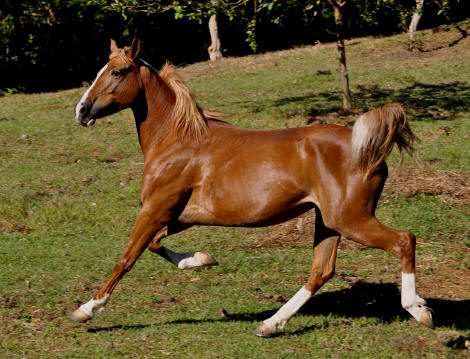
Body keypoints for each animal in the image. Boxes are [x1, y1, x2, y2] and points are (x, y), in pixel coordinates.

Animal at [70, 39, 434, 338]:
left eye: (116, 71)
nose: (81, 111)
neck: (178, 140)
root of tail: (370, 150)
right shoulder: (179, 215)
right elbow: (155, 245)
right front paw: (202, 259)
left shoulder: (155, 209)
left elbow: (127, 257)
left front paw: (86, 309)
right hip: (329, 222)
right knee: (321, 270)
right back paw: (270, 324)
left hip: (350, 219)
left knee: (404, 240)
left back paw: (419, 309)